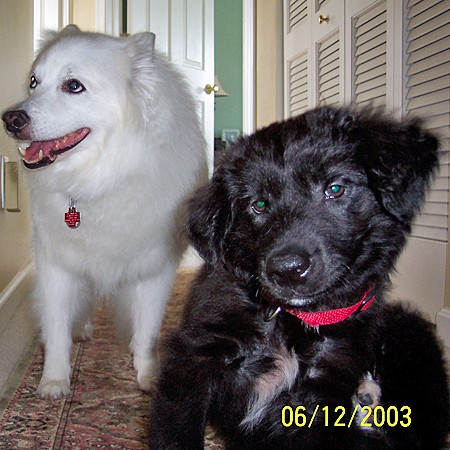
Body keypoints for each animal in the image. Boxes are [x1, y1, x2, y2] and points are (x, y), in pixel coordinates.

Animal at [0, 27, 206, 400]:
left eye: (73, 86)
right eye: (35, 82)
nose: (10, 120)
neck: (101, 180)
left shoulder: (155, 269)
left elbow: (147, 330)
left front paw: (148, 375)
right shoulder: (56, 263)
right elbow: (56, 328)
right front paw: (54, 381)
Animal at [149, 107, 448, 448]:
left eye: (335, 189)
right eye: (259, 204)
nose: (287, 269)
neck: (289, 318)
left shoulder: (323, 386)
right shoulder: (195, 352)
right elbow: (176, 430)